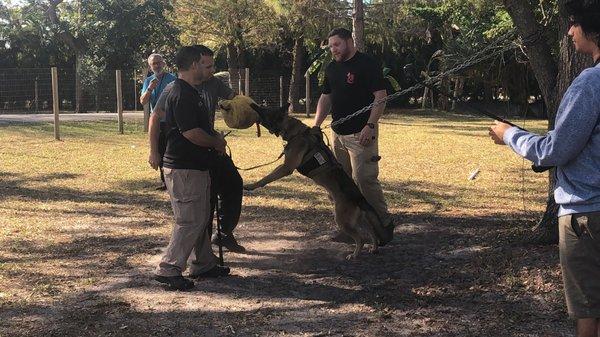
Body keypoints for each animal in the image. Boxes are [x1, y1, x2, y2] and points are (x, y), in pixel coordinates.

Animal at [244, 103, 394, 258]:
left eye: (266, 110)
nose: (252, 104)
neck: (296, 132)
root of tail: (360, 199)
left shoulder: (286, 167)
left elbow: (267, 177)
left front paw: (251, 185)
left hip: (343, 221)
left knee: (361, 238)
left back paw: (354, 254)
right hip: (357, 221)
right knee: (371, 232)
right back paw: (374, 248)